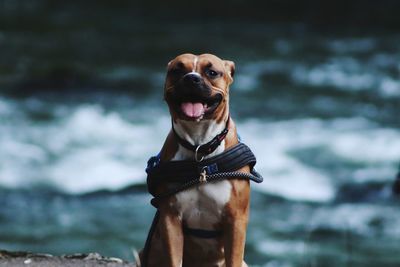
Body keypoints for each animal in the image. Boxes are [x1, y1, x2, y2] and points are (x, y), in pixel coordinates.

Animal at [141, 53, 250, 266]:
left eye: (212, 72)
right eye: (177, 70)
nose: (191, 78)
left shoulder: (236, 220)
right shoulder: (170, 218)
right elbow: (174, 260)